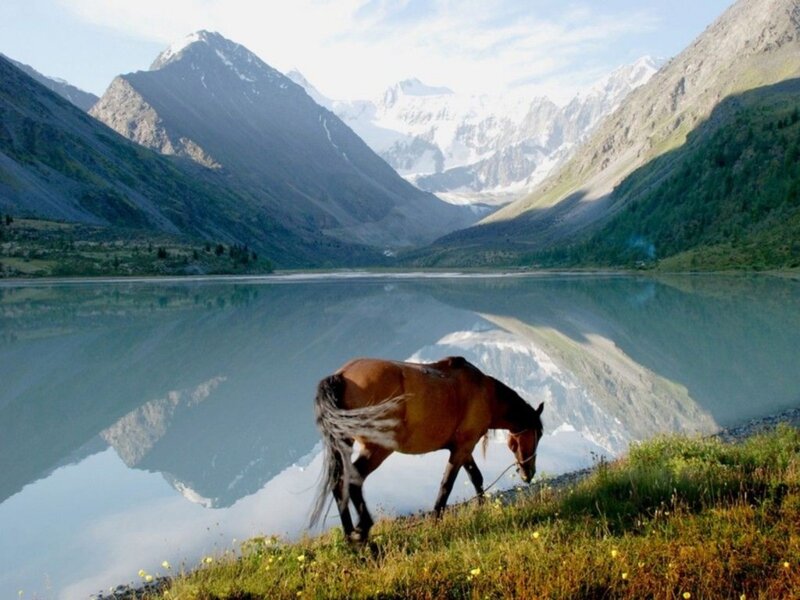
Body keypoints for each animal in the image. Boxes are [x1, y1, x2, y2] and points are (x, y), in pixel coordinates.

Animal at [309, 356, 544, 543]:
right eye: (539, 434)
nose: (528, 474)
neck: (485, 393)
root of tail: (340, 376)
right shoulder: (462, 448)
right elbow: (447, 485)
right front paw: (437, 521)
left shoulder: (463, 449)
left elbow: (476, 477)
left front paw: (482, 508)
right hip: (377, 448)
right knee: (353, 480)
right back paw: (364, 533)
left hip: (345, 444)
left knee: (339, 483)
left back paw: (350, 537)